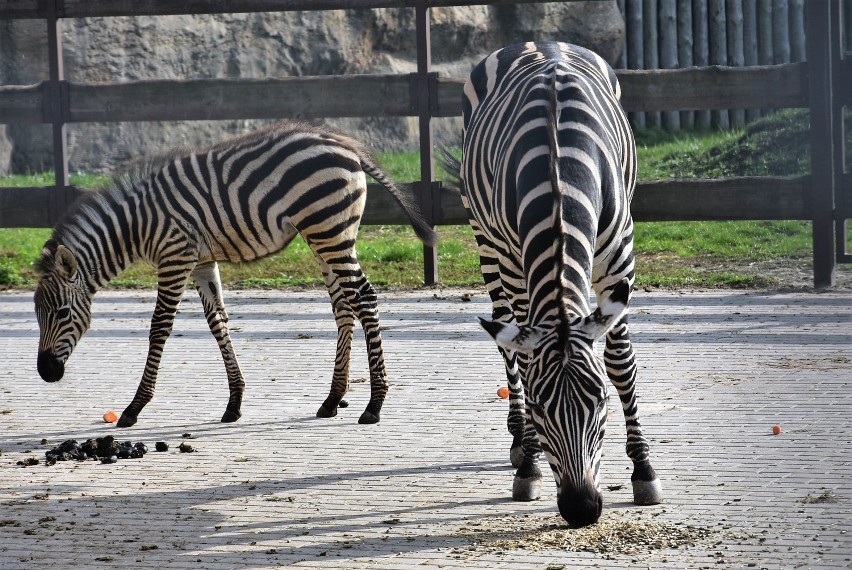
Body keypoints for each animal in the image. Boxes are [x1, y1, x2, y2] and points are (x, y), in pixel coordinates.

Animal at [34, 122, 436, 428]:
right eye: (38, 316)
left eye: (63, 314)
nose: (45, 373)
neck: (135, 227)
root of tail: (344, 143)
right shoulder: (200, 262)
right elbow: (217, 322)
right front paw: (235, 402)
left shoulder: (175, 256)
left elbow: (159, 327)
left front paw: (134, 408)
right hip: (326, 235)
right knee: (343, 305)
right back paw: (333, 399)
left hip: (329, 231)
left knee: (364, 298)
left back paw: (374, 404)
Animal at [442, 42, 664, 524]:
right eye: (542, 407)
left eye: (600, 401)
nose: (581, 509)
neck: (561, 174)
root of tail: (538, 42)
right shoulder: (513, 261)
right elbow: (525, 362)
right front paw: (528, 465)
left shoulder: (619, 256)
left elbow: (621, 362)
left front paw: (643, 470)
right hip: (485, 241)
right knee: (506, 339)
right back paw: (518, 442)